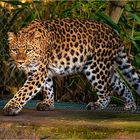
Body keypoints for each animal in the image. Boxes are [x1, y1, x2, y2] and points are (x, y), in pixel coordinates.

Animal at [3, 18, 140, 115]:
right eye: (14, 50)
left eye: (28, 50)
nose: (20, 62)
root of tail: (115, 34)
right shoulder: (44, 71)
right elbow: (48, 87)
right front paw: (48, 104)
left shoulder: (38, 73)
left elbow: (24, 91)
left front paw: (11, 107)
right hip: (106, 69)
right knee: (122, 84)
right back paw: (131, 106)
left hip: (95, 67)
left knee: (107, 91)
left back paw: (97, 105)